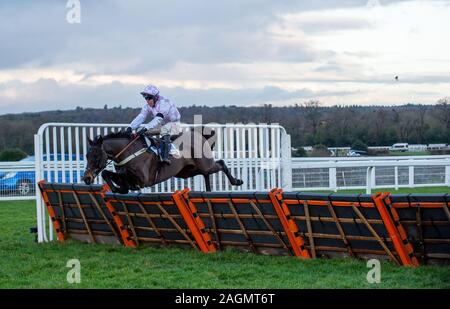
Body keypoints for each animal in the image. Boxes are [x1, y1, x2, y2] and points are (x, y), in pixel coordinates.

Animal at [81, 127, 243, 192]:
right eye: (87, 156)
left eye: (96, 156)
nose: (86, 178)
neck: (129, 152)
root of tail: (198, 134)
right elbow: (107, 174)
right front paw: (118, 188)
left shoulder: (144, 179)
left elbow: (125, 179)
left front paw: (121, 187)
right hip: (186, 172)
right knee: (206, 173)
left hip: (205, 164)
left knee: (220, 164)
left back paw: (236, 181)